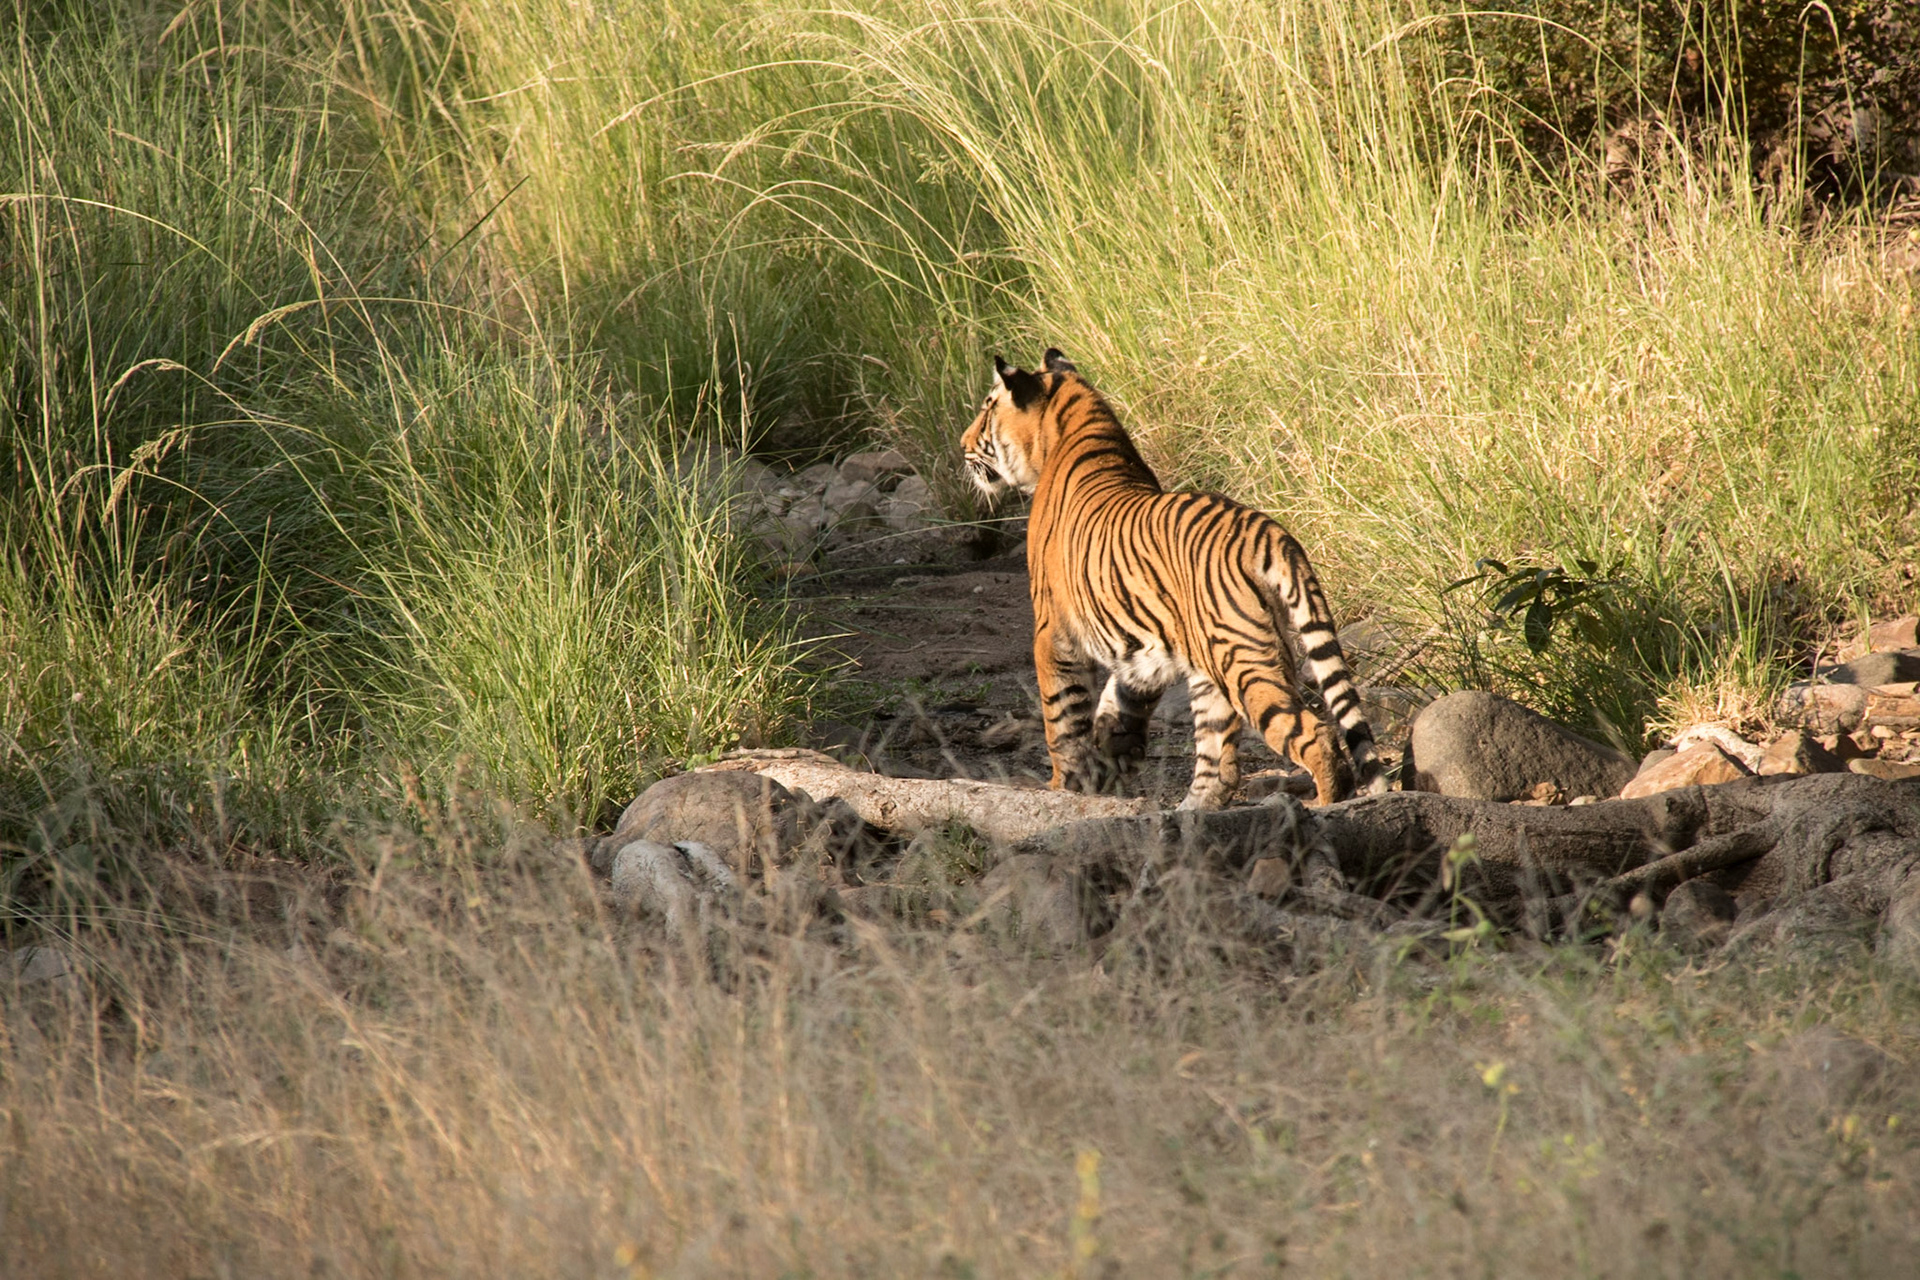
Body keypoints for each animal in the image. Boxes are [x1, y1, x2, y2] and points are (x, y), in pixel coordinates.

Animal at [960, 348, 1387, 808]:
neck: (1069, 428)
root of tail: (1268, 532)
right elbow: (1119, 708)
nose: (962, 445)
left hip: (1242, 660)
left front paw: (1064, 787)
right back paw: (1192, 810)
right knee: (1220, 763)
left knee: (1314, 733)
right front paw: (1110, 764)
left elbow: (1062, 720)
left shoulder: (1052, 631)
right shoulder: (1142, 652)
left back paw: (1325, 805)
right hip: (1210, 670)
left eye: (986, 408)